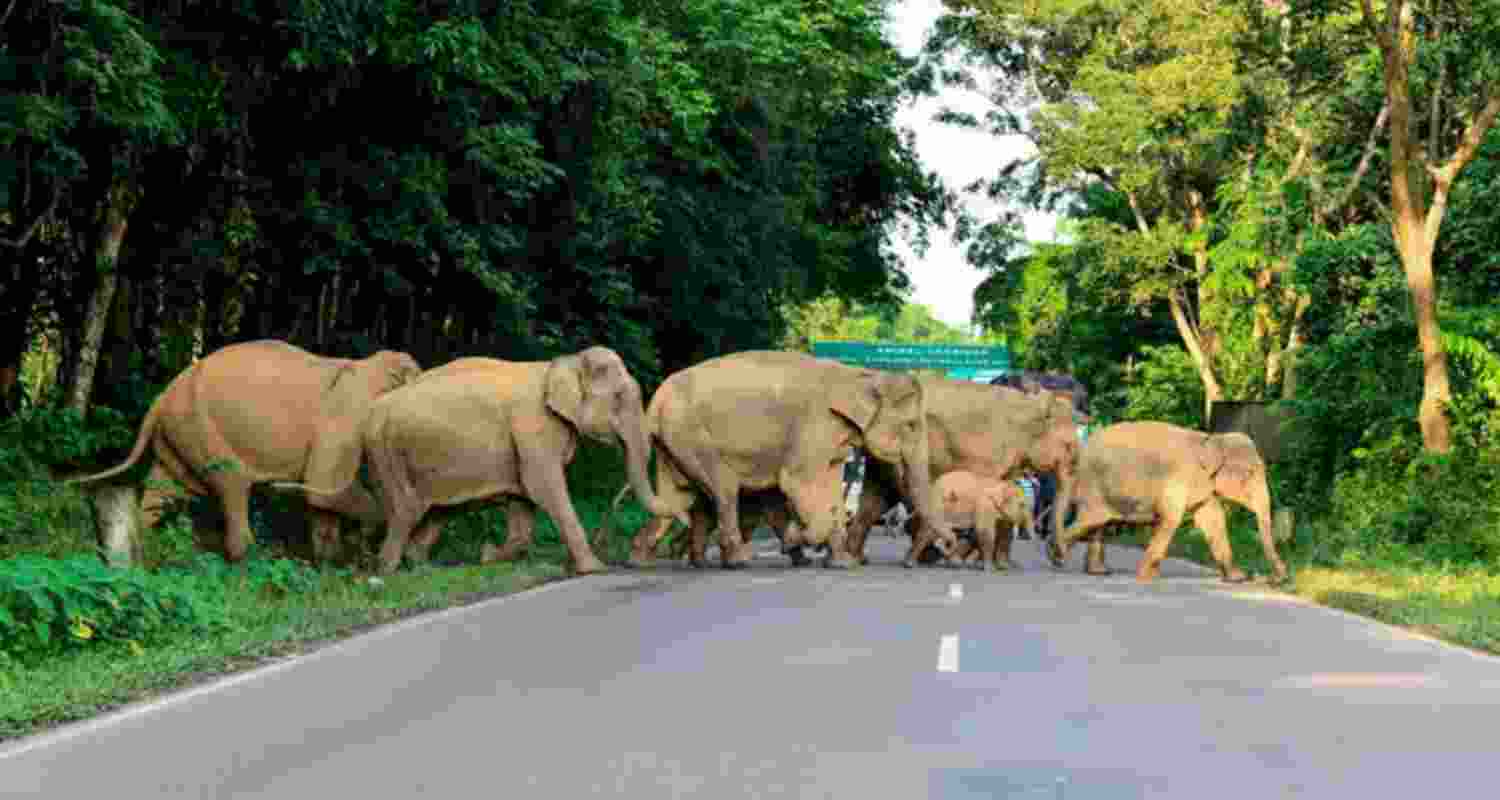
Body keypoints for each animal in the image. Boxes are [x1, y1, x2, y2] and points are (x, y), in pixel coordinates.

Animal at [68, 339, 423, 563]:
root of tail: (159, 400)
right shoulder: (346, 418)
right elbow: (322, 487)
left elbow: (322, 498)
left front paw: (332, 561)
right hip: (201, 429)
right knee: (232, 485)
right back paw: (249, 563)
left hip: (177, 435)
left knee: (163, 491)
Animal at [273, 347, 680, 575]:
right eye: (619, 398)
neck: (561, 364)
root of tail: (372, 412)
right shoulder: (533, 427)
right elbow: (544, 487)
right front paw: (594, 570)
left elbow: (524, 499)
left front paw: (489, 557)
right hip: (387, 452)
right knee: (405, 511)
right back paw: (385, 570)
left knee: (434, 510)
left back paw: (419, 566)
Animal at [625, 350, 955, 570]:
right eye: (911, 425)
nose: (949, 544)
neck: (859, 375)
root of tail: (656, 400)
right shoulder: (815, 426)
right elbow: (797, 482)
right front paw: (797, 539)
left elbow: (830, 488)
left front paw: (842, 563)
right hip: (689, 432)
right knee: (723, 488)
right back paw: (738, 560)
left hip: (673, 441)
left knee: (675, 497)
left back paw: (639, 561)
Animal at [843, 379, 1081, 568]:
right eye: (1069, 446)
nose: (1058, 559)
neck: (1030, 404)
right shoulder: (992, 451)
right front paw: (981, 562)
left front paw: (1005, 565)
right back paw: (929, 556)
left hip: (886, 457)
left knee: (876, 501)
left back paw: (856, 558)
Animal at [1047, 420, 1290, 584]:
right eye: (1249, 473)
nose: (1276, 578)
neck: (1210, 439)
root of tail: (1081, 451)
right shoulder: (1178, 477)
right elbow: (1171, 519)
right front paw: (1146, 577)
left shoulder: (1203, 485)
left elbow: (1213, 520)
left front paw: (1235, 578)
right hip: (1093, 485)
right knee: (1092, 519)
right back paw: (1056, 554)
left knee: (1099, 523)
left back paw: (1097, 571)